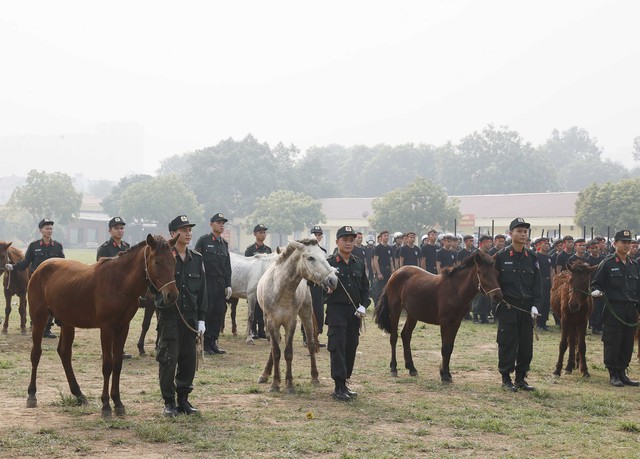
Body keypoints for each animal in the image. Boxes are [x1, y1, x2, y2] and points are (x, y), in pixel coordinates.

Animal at [26, 235, 179, 418]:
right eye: (157, 261)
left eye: (173, 260)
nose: (172, 295)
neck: (119, 282)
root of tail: (40, 268)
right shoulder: (106, 328)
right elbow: (107, 365)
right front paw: (106, 405)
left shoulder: (123, 328)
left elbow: (117, 364)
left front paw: (118, 403)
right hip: (39, 318)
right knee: (36, 353)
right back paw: (32, 394)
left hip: (67, 322)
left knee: (64, 353)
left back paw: (79, 394)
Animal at [255, 239, 338, 394]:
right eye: (310, 258)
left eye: (324, 256)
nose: (333, 280)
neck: (281, 290)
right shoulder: (272, 322)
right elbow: (276, 351)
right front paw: (275, 384)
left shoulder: (291, 322)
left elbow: (288, 352)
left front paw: (289, 384)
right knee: (274, 346)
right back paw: (265, 374)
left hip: (306, 313)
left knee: (311, 344)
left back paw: (315, 377)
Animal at [372, 253, 502, 382]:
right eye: (483, 273)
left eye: (496, 273)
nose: (498, 296)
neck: (455, 290)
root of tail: (394, 273)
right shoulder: (445, 323)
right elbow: (444, 348)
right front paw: (444, 375)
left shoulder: (456, 323)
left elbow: (450, 348)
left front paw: (447, 374)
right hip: (395, 310)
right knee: (394, 337)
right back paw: (393, 368)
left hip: (413, 314)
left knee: (406, 335)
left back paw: (412, 368)